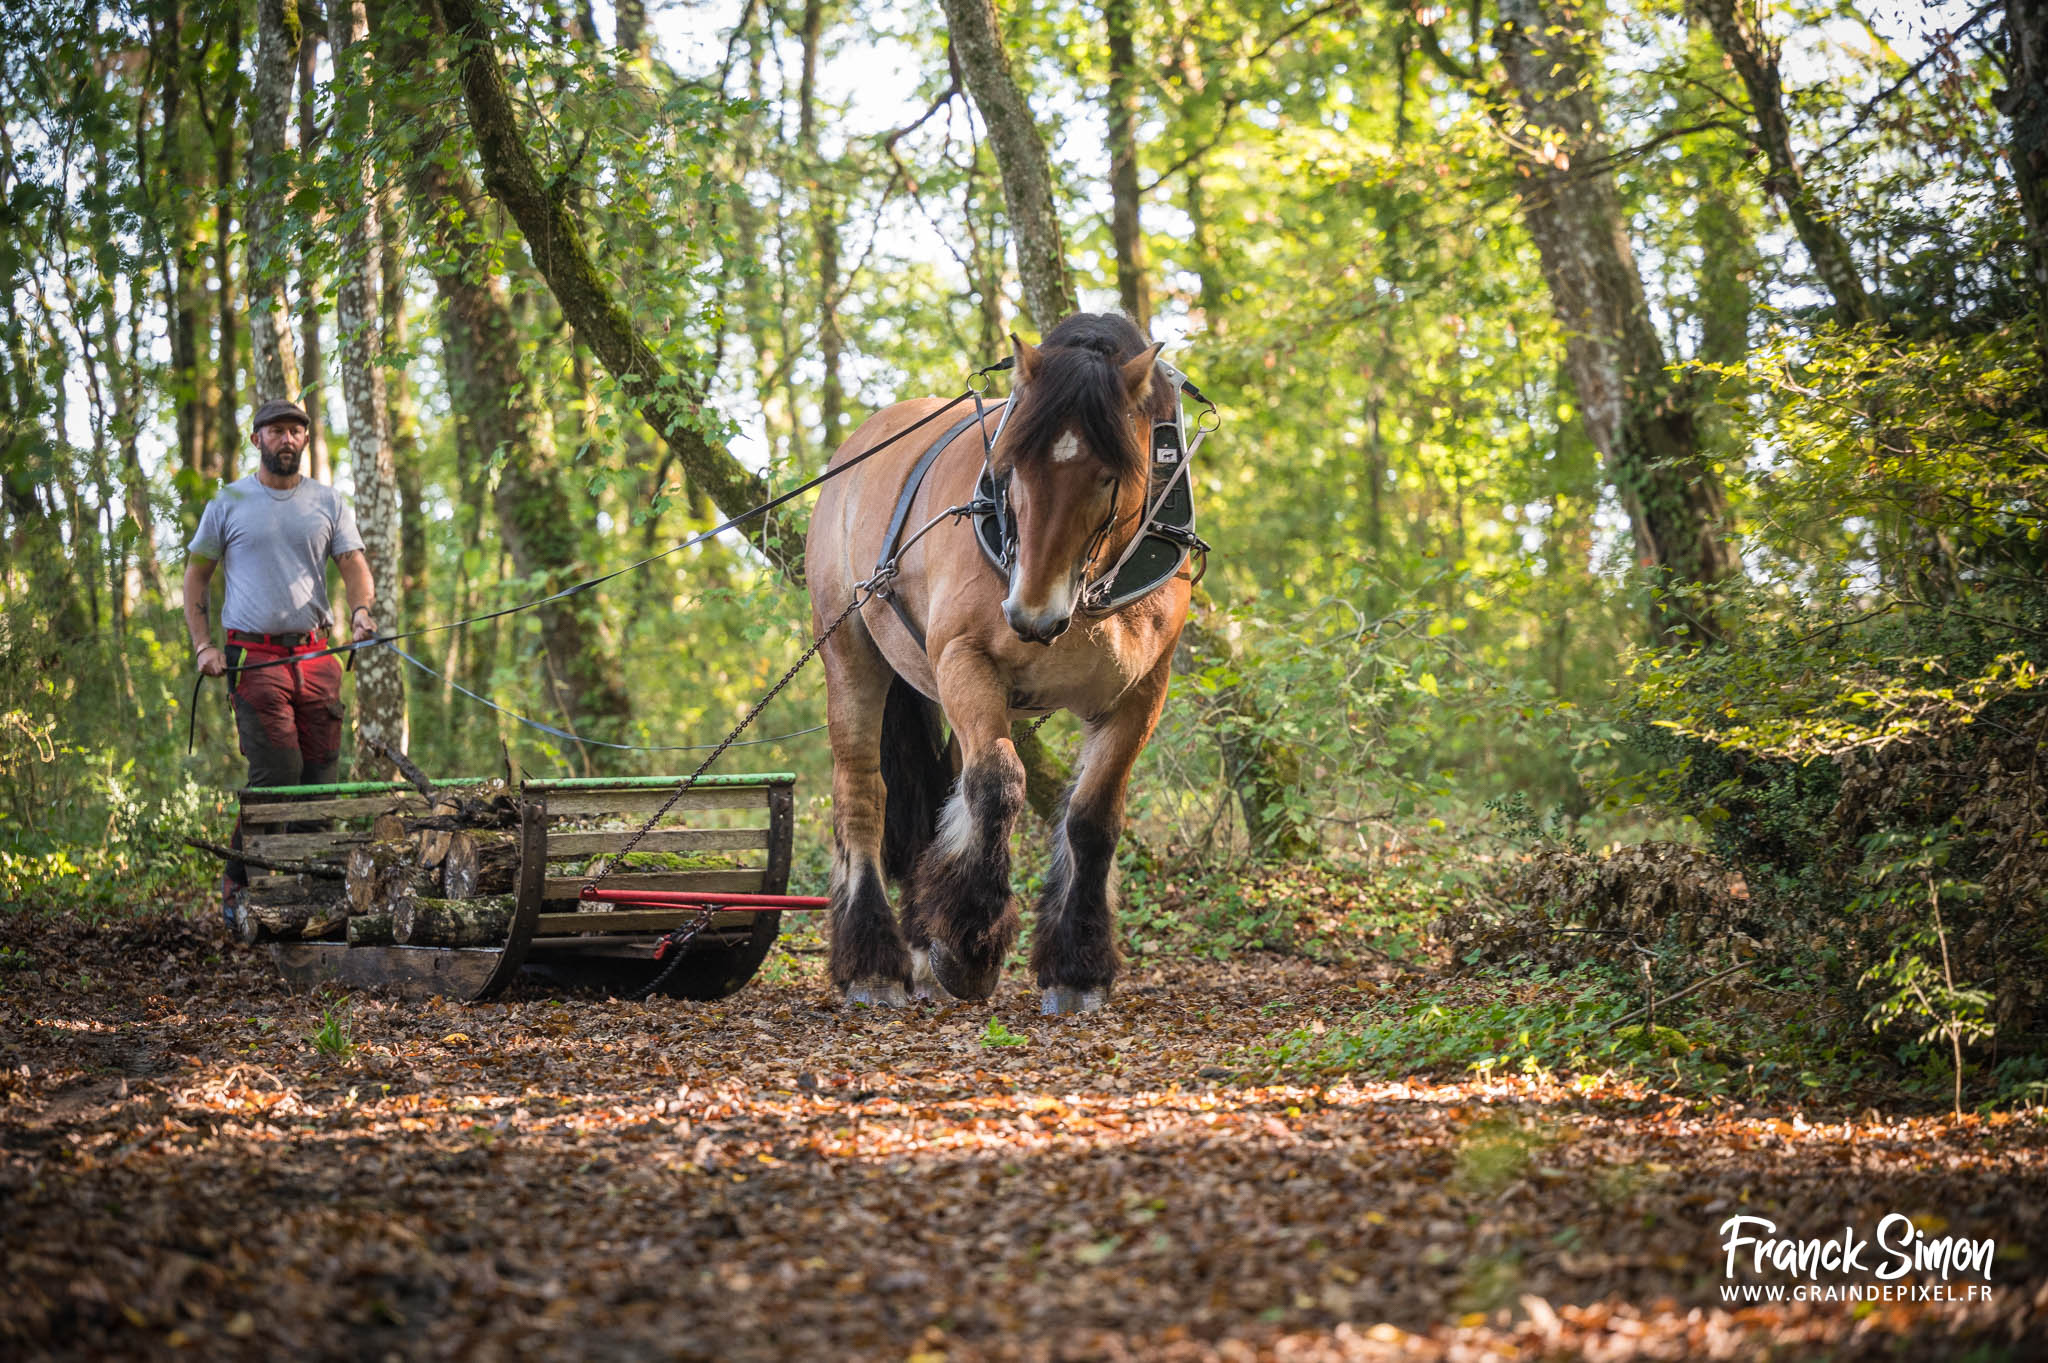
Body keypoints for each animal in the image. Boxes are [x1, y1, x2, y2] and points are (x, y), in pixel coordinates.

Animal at [805, 313, 1194, 1014]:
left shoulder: (1141, 693)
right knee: (863, 796)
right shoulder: (966, 660)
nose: (1031, 615)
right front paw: (969, 950)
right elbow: (997, 783)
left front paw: (1077, 966)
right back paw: (873, 961)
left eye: (1110, 473)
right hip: (851, 654)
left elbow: (1093, 817)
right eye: (1009, 466)